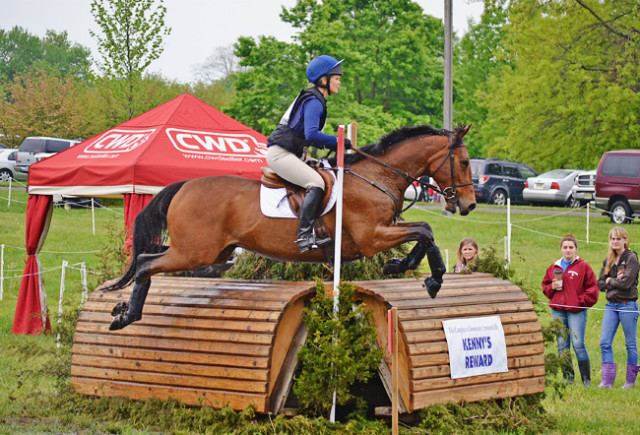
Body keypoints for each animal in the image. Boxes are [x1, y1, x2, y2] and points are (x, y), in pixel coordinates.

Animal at [105, 123, 476, 330]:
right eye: (464, 162)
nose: (469, 204)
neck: (377, 176)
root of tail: (183, 185)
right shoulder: (371, 237)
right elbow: (425, 230)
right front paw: (432, 279)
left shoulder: (383, 231)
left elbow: (423, 232)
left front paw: (401, 264)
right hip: (196, 251)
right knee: (145, 263)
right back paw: (127, 316)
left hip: (212, 251)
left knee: (149, 262)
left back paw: (125, 310)